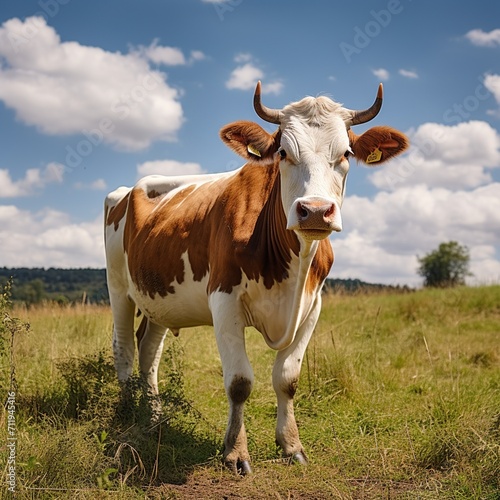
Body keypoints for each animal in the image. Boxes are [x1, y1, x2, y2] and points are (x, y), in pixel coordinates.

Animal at [103, 80, 408, 474]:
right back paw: (128, 415)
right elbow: (239, 382)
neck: (290, 269)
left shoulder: (313, 306)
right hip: (118, 288)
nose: (315, 211)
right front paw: (235, 452)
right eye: (283, 152)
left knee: (148, 352)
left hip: (158, 297)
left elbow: (288, 379)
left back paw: (154, 417)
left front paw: (291, 445)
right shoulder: (223, 301)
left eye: (346, 154)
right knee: (124, 347)